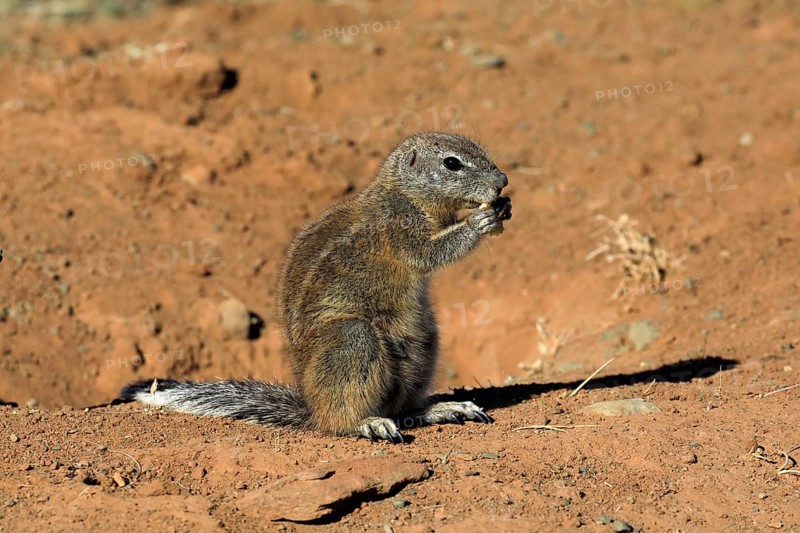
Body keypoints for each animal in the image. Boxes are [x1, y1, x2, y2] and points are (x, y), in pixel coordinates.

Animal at [120, 132, 512, 443]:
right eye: (452, 163)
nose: (503, 181)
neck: (402, 193)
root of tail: (310, 405)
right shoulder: (399, 229)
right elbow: (430, 253)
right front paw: (480, 220)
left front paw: (501, 210)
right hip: (352, 338)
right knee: (341, 419)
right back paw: (369, 424)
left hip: (424, 342)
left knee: (404, 409)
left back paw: (445, 408)